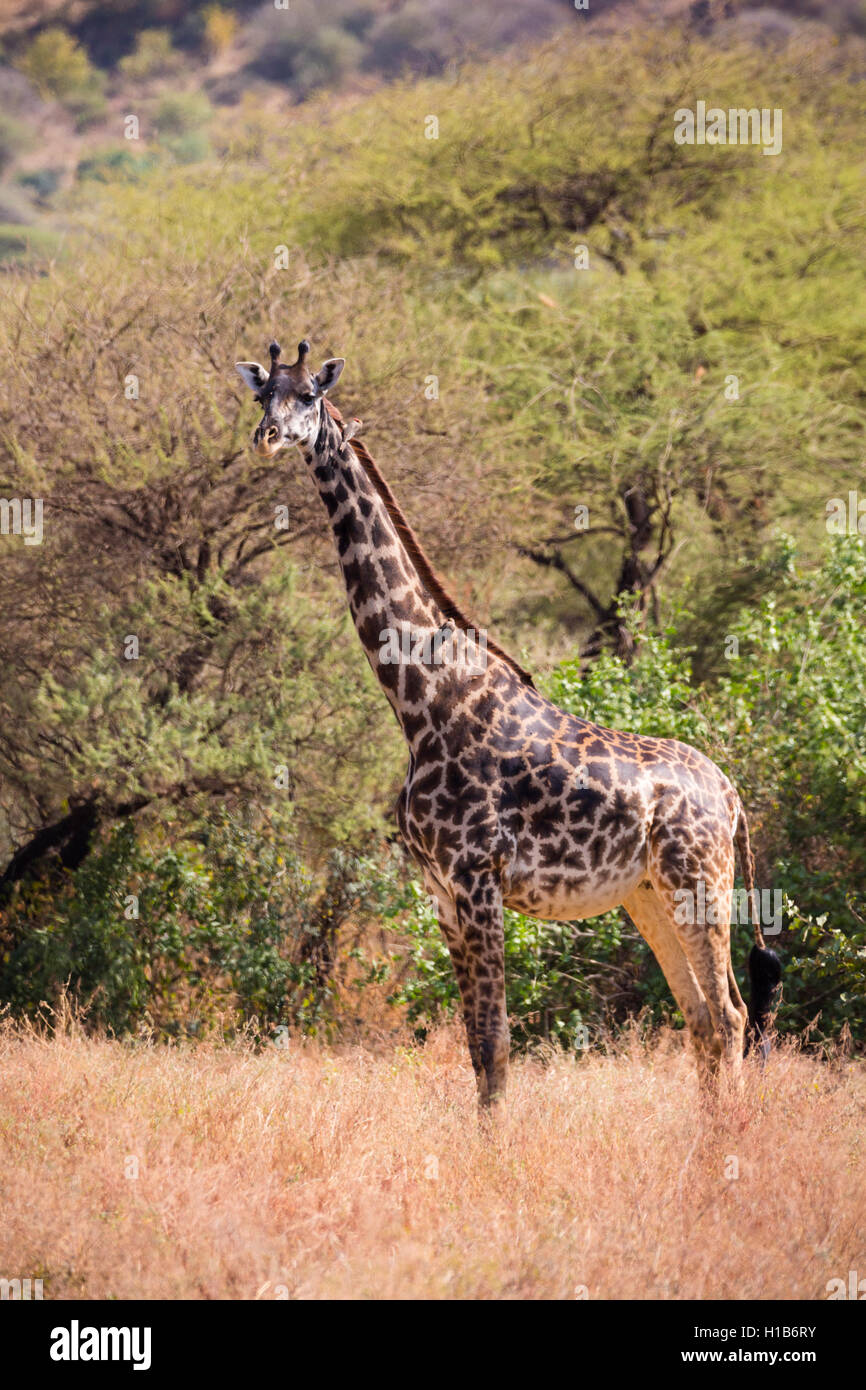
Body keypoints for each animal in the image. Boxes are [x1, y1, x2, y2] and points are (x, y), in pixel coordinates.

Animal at [237, 339, 783, 1106]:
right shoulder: (440, 892)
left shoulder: (478, 879)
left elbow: (496, 1046)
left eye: (309, 395)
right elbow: (474, 1048)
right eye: (263, 396)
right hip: (647, 896)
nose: (267, 436)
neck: (421, 700)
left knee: (731, 1016)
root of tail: (732, 796)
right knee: (704, 1018)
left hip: (699, 882)